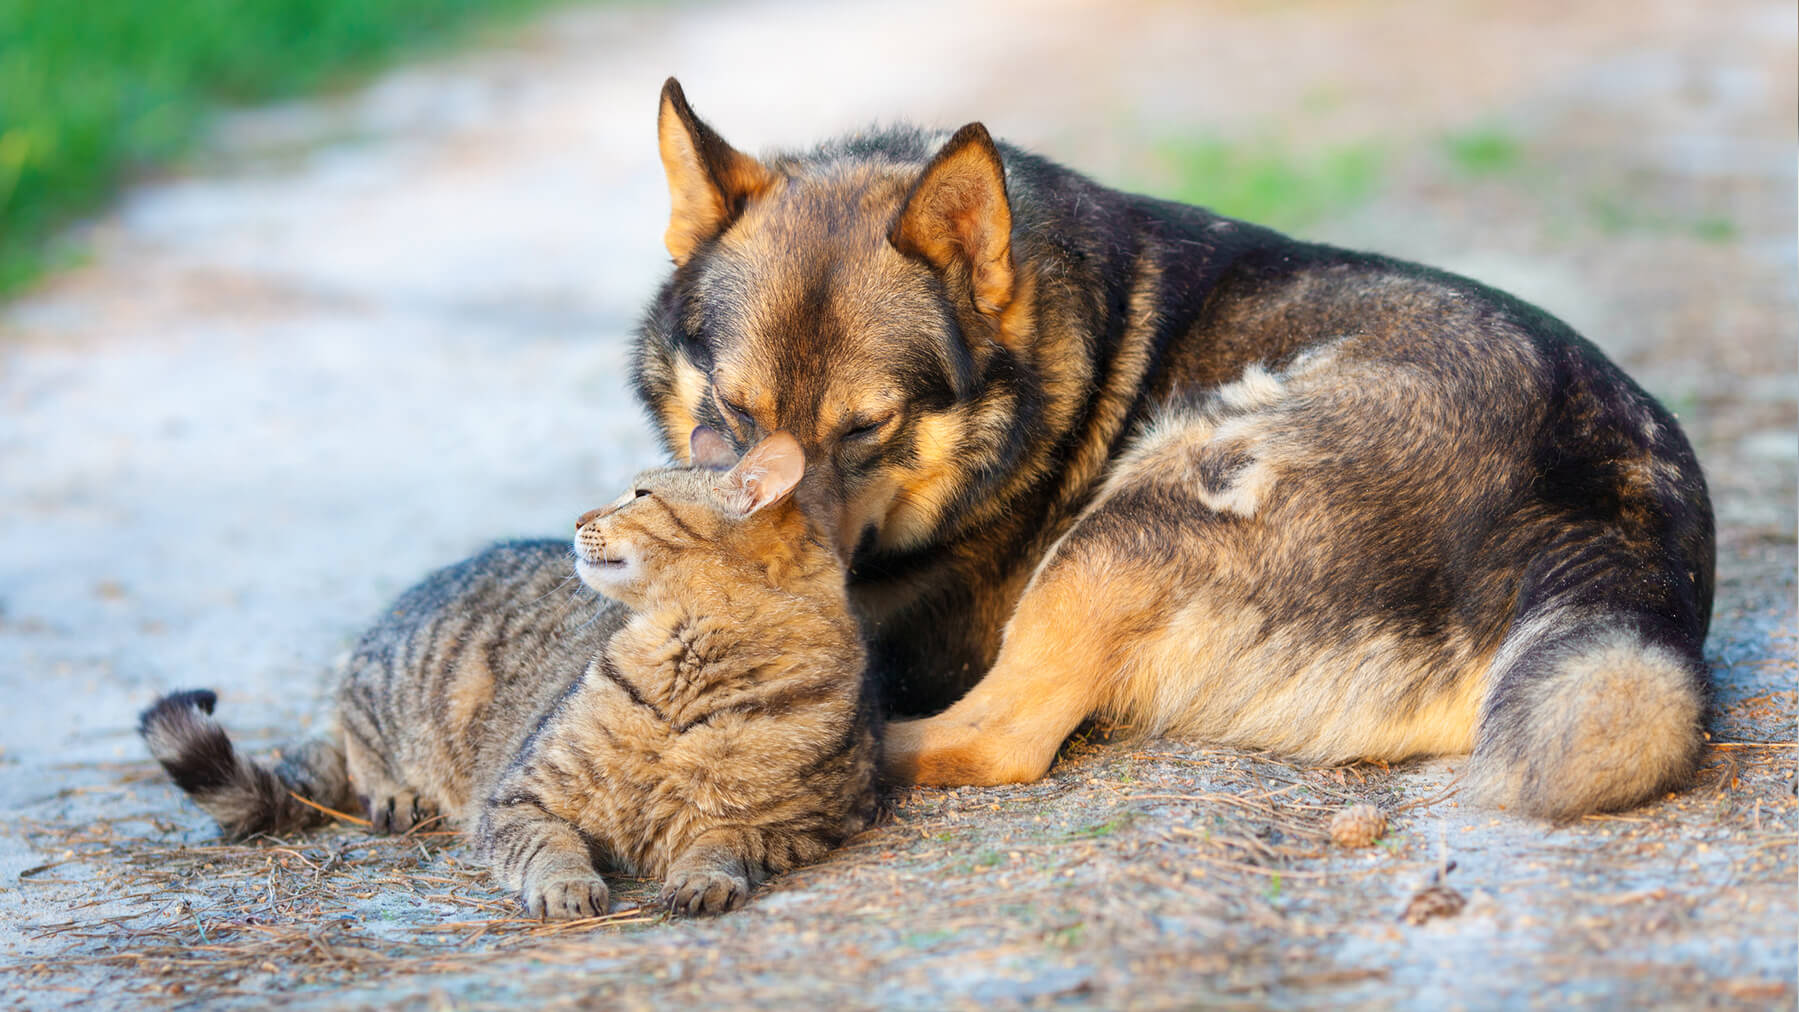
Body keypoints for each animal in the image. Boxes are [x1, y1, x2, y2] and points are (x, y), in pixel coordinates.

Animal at [140, 427, 877, 920]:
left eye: (638, 495)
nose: (579, 515)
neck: (684, 654)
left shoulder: (809, 821)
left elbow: (725, 837)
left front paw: (701, 876)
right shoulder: (520, 796)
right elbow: (549, 846)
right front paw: (566, 884)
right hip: (400, 687)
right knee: (350, 738)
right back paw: (395, 791)